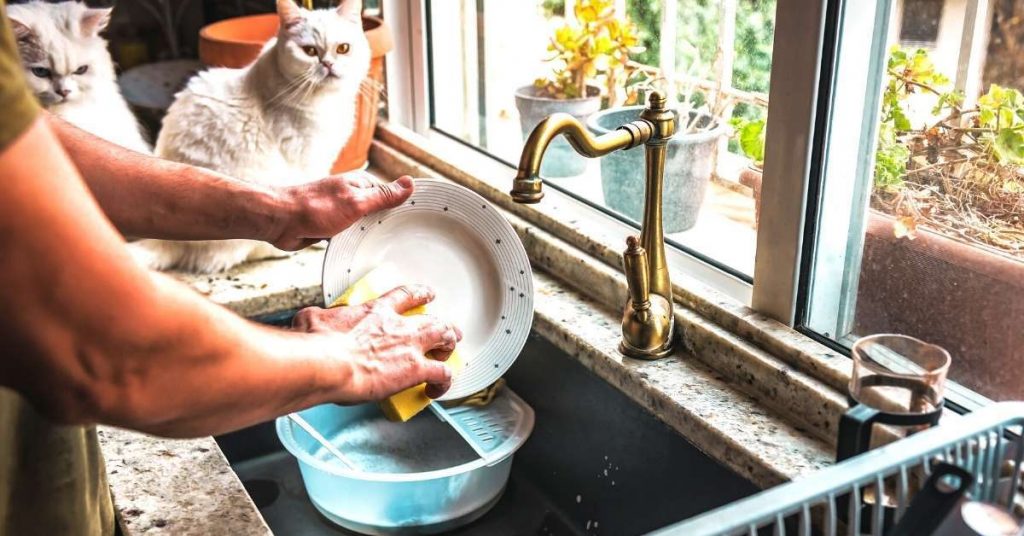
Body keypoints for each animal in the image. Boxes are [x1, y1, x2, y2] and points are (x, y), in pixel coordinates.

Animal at [132, 0, 370, 272]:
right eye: (309, 51)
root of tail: (163, 241)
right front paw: (323, 239)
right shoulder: (308, 159)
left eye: (343, 48)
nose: (328, 64)